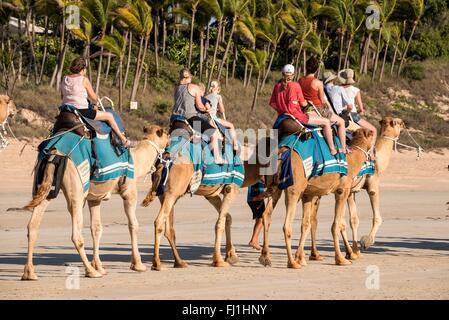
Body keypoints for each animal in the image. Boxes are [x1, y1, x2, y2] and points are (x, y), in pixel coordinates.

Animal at [20, 125, 169, 280]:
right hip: (76, 187)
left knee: (33, 225)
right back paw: (90, 271)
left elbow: (96, 229)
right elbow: (133, 225)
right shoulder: (129, 192)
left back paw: (29, 273)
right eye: (166, 133)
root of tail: (54, 153)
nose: (169, 142)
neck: (137, 161)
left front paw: (100, 266)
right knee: (76, 232)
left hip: (44, 184)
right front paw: (138, 265)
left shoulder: (94, 199)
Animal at [256, 127, 374, 268]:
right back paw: (292, 263)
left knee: (266, 215)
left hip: (275, 187)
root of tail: (281, 155)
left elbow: (306, 224)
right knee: (287, 224)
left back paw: (265, 257)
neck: (352, 159)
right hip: (294, 189)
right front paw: (341, 259)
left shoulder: (308, 194)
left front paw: (301, 258)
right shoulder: (342, 191)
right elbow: (336, 225)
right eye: (373, 136)